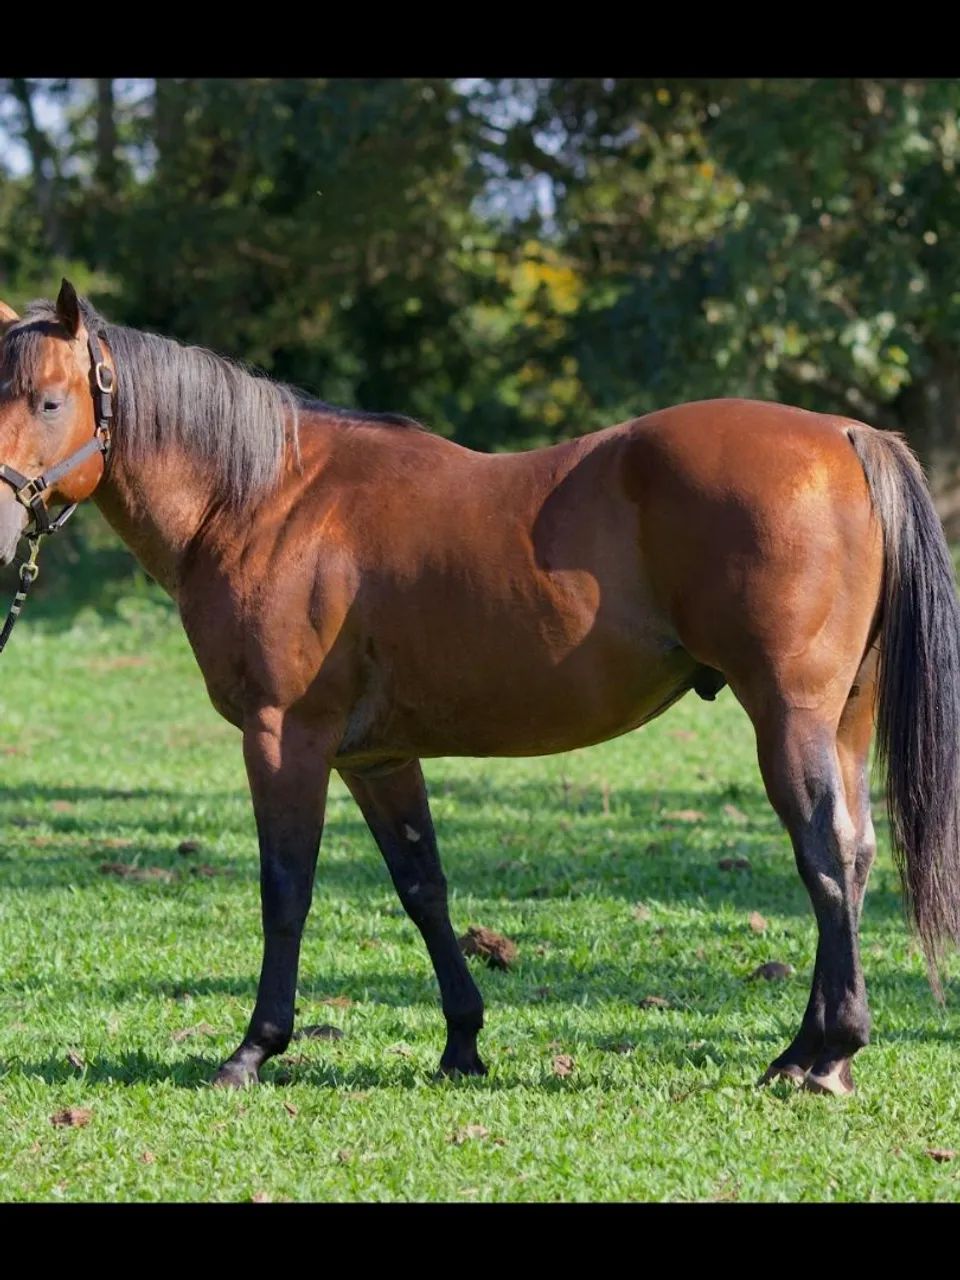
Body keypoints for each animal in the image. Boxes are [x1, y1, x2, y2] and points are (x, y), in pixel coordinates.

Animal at [1, 280, 958, 1098]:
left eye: (48, 401)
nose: (5, 517)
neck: (264, 501)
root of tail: (843, 435)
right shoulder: (377, 758)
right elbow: (424, 888)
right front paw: (462, 1040)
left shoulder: (284, 738)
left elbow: (286, 889)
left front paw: (253, 1049)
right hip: (842, 721)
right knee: (853, 856)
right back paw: (814, 1055)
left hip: (788, 717)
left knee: (825, 857)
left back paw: (824, 1052)